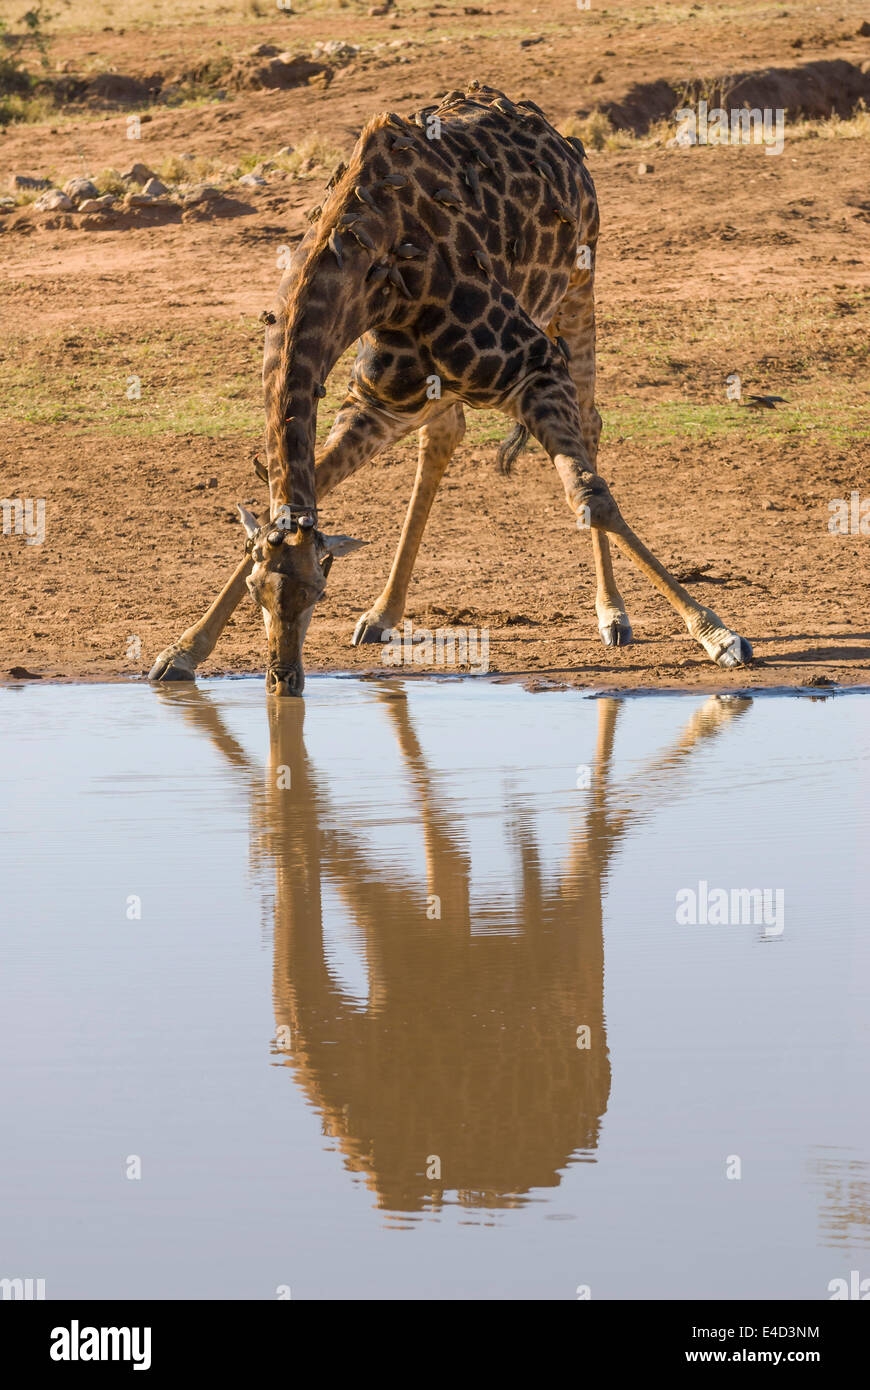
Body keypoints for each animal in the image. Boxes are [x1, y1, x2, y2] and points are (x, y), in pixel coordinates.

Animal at [145, 84, 750, 695]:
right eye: (256, 593)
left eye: (319, 592)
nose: (283, 680)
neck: (374, 274)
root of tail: (543, 123)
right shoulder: (378, 401)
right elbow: (309, 485)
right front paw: (181, 651)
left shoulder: (533, 366)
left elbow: (590, 498)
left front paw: (719, 635)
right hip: (437, 387)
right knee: (443, 440)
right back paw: (382, 614)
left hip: (580, 283)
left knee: (590, 423)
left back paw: (613, 615)